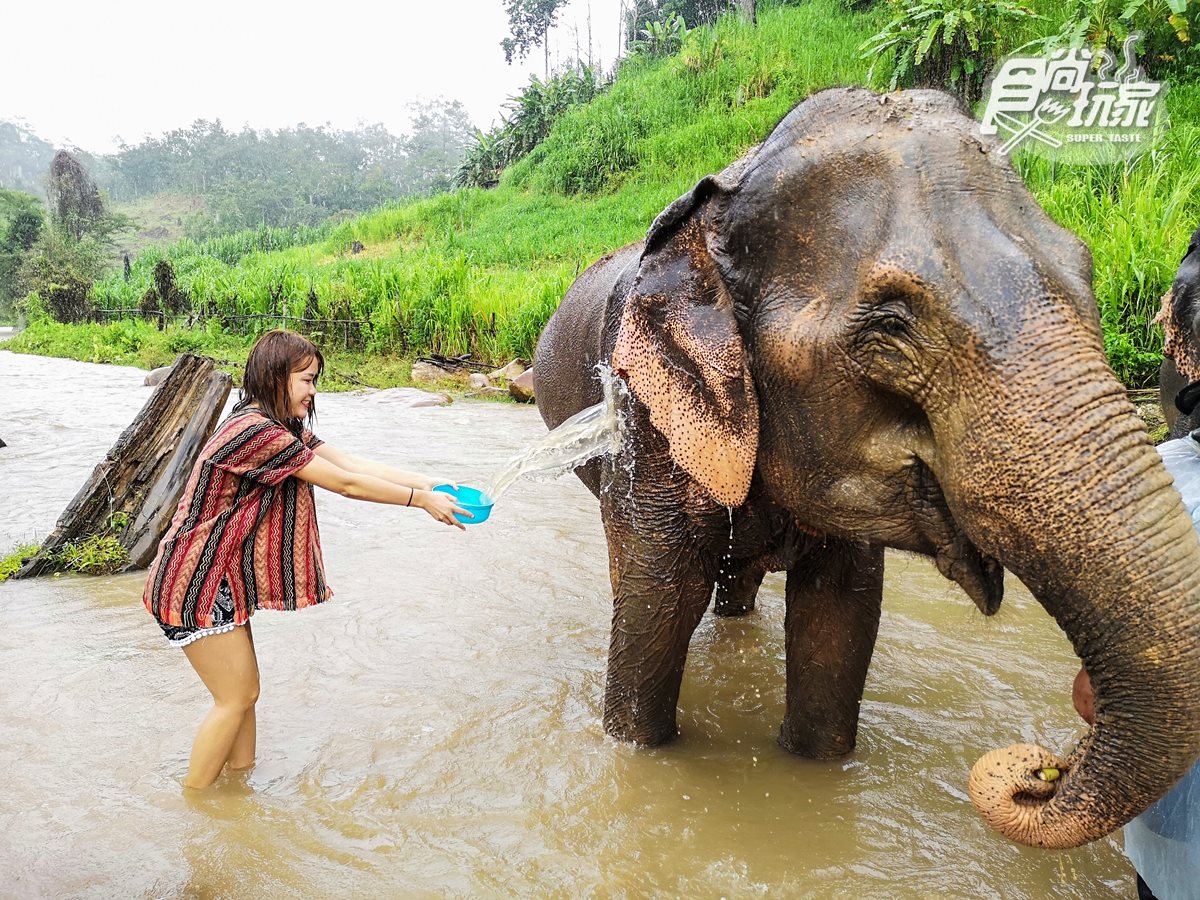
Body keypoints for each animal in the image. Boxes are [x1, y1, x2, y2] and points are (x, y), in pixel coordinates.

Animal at [535, 86, 1200, 854]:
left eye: (1087, 270)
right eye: (890, 326)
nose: (1041, 771)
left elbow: (841, 618)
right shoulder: (646, 429)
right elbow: (657, 607)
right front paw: (635, 745)